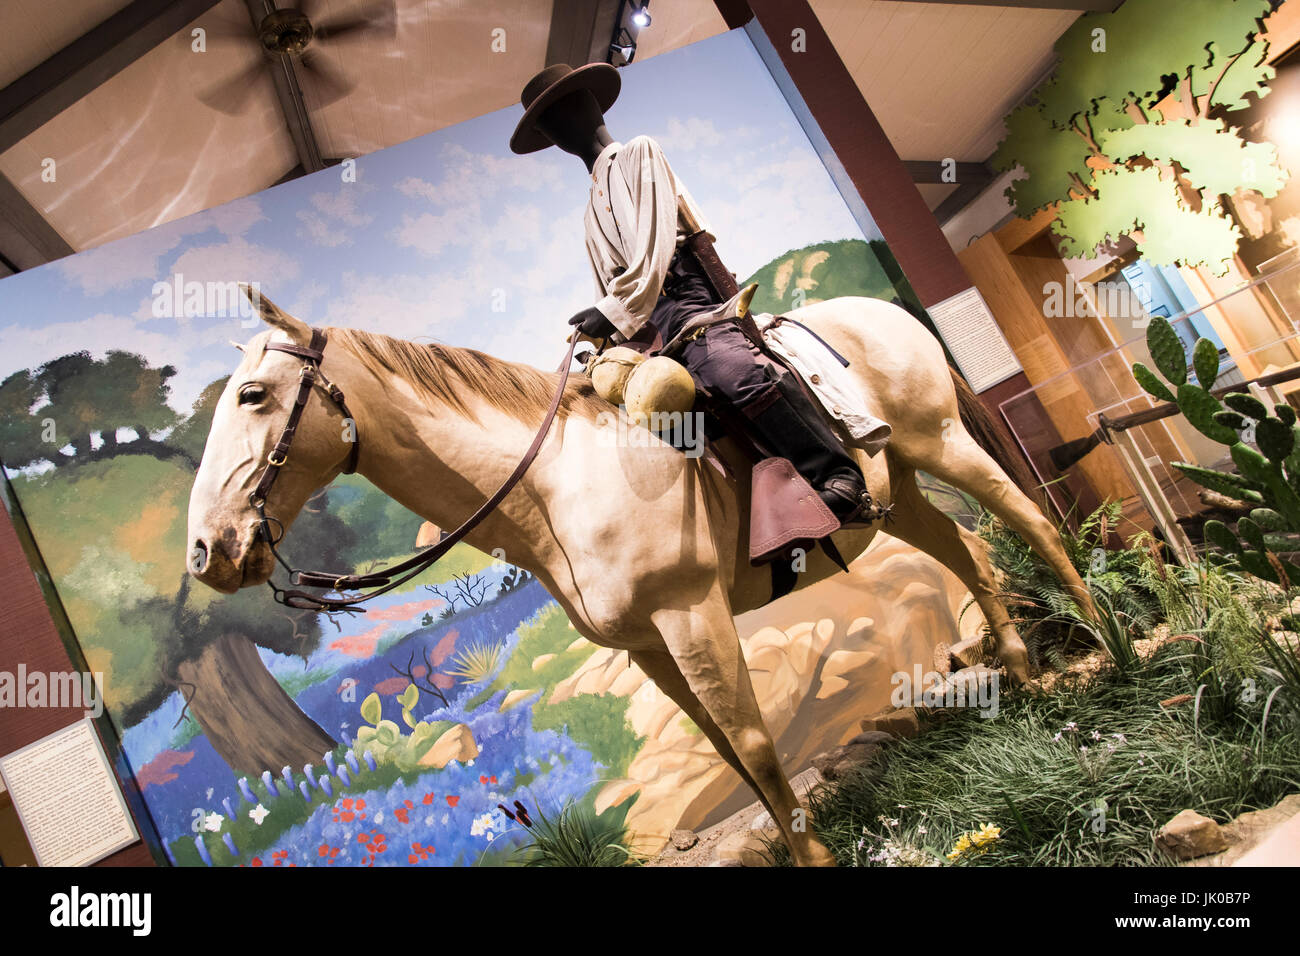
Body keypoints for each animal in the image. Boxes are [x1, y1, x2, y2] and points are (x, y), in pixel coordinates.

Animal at [188, 291, 1092, 868]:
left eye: (255, 395)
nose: (206, 552)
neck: (559, 482)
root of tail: (883, 309)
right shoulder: (647, 648)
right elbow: (729, 754)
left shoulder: (691, 615)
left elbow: (754, 740)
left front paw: (815, 853)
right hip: (895, 489)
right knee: (968, 553)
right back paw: (1023, 675)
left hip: (942, 442)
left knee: (1035, 526)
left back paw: (1102, 647)